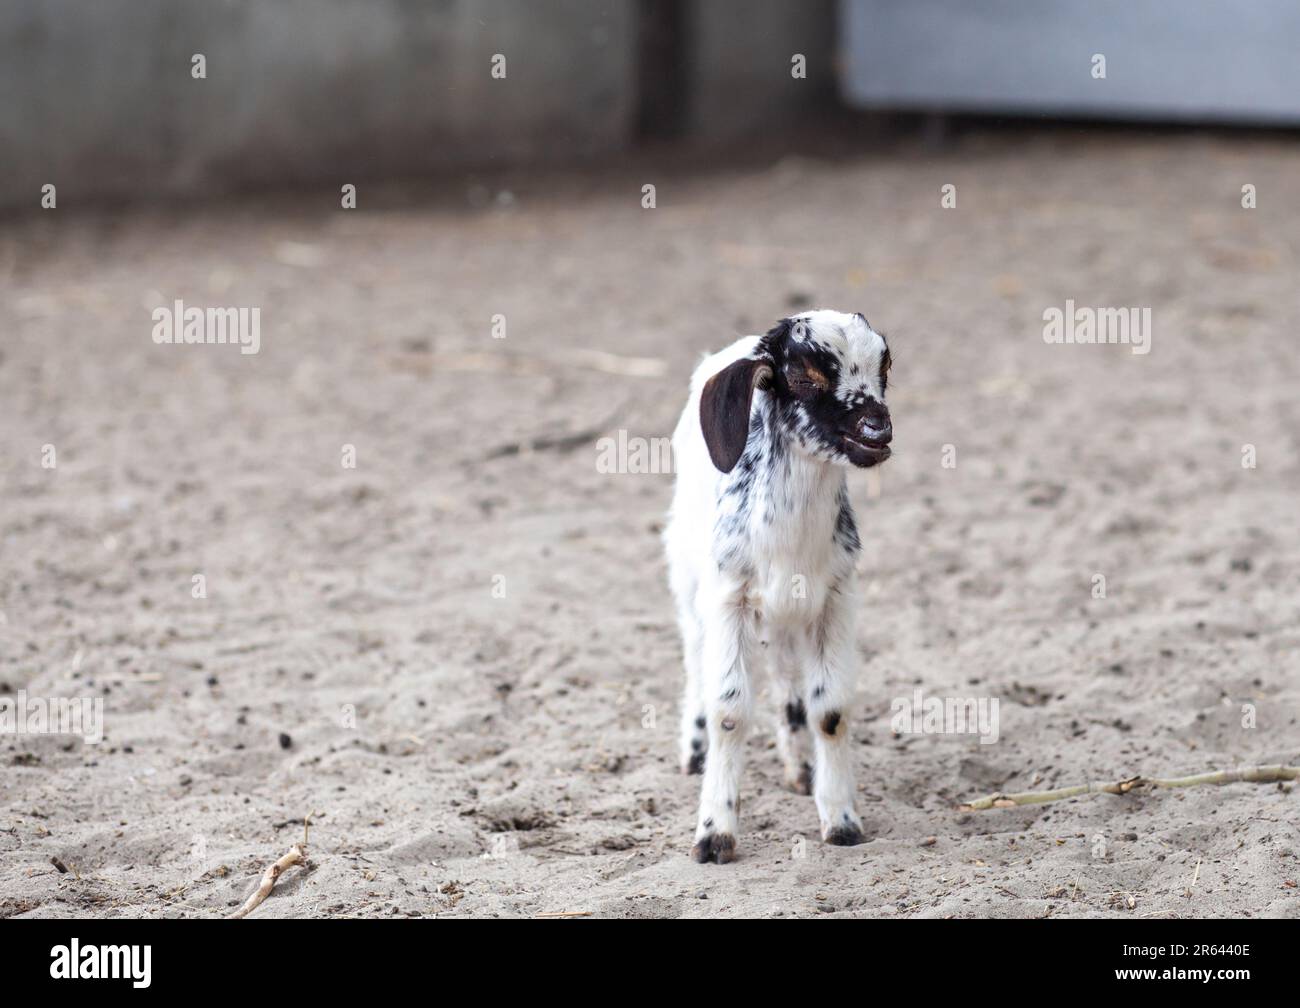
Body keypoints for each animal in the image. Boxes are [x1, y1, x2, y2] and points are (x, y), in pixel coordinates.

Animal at [665, 310, 889, 863]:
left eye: (884, 368)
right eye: (806, 378)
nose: (878, 430)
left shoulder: (836, 598)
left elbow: (829, 710)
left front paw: (841, 820)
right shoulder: (729, 597)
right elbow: (729, 710)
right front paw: (715, 834)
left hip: (788, 612)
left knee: (788, 676)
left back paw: (800, 767)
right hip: (686, 569)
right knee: (694, 652)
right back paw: (694, 751)